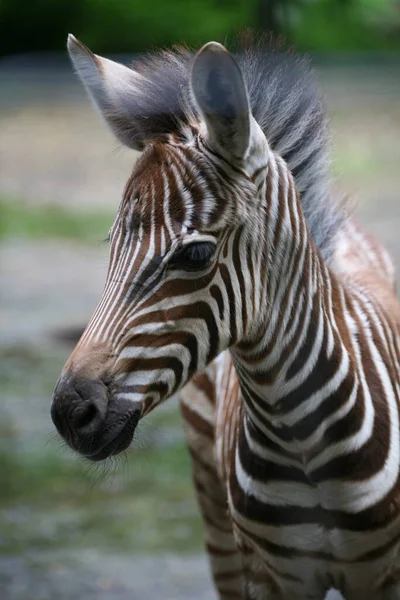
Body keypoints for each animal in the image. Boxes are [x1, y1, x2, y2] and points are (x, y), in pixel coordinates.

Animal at [51, 34, 400, 600]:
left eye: (195, 255)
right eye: (111, 245)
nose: (69, 413)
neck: (304, 439)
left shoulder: (382, 574)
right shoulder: (268, 574)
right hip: (214, 516)